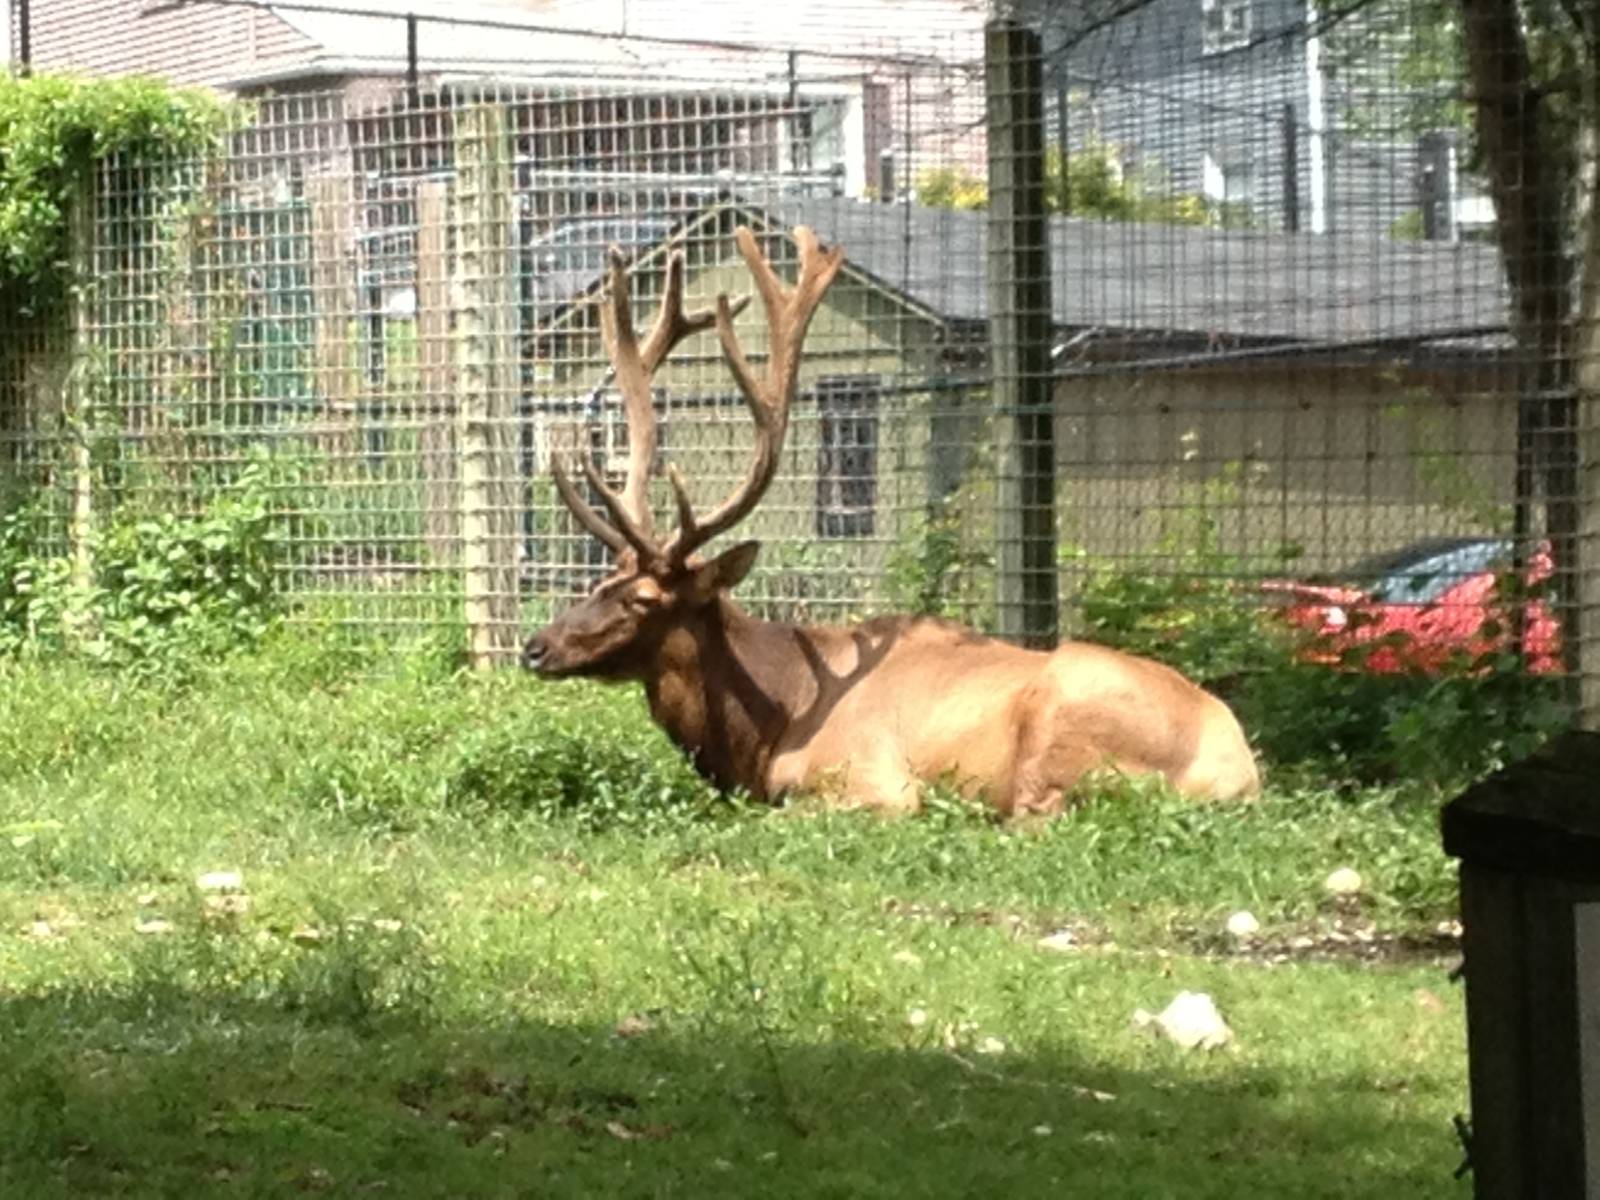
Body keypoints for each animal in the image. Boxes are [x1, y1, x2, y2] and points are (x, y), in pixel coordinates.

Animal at [521, 225, 1261, 816]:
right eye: (598, 582)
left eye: (644, 599)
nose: (536, 646)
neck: (766, 729)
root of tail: (1240, 769)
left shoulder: (872, 784)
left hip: (1064, 725)